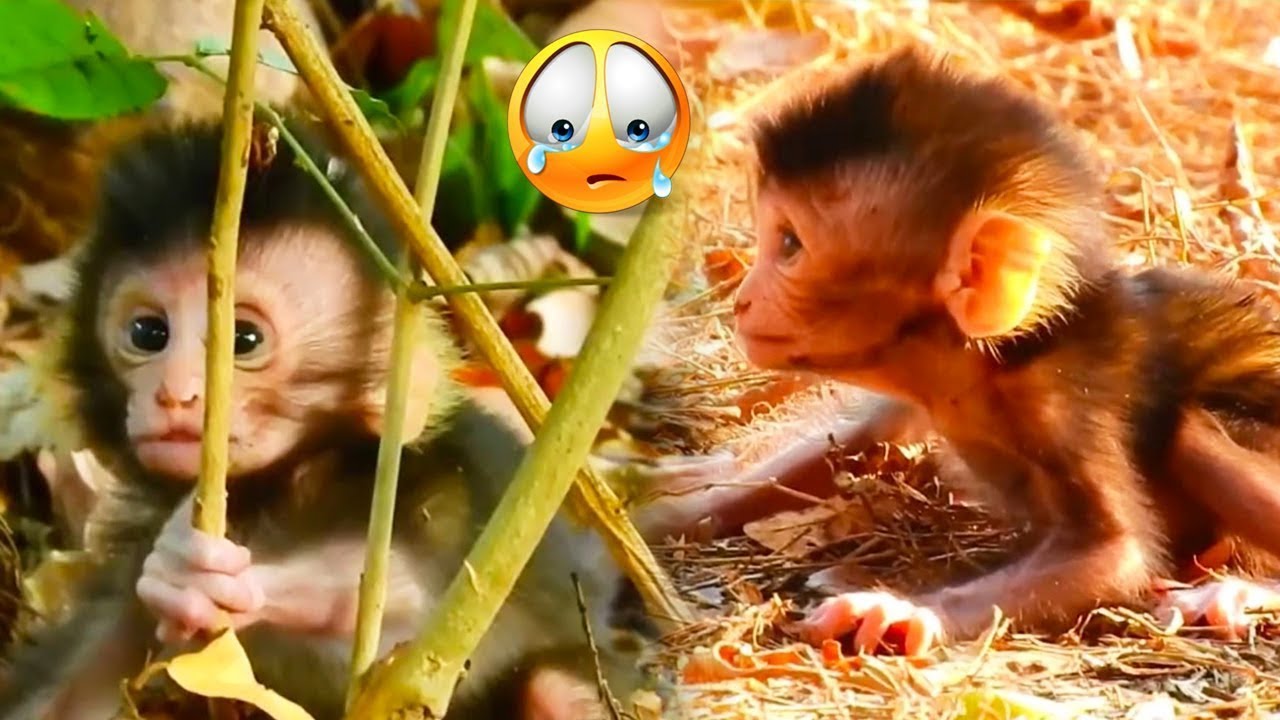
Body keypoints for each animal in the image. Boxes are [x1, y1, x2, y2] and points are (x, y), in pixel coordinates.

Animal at [0, 118, 647, 719]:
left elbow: (409, 644)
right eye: (148, 333)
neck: (288, 484)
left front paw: (200, 573)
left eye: (244, 339)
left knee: (553, 688)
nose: (176, 394)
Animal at [725, 46, 1280, 656]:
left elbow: (1114, 553)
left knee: (1189, 430)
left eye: (789, 245)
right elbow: (860, 438)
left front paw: (901, 612)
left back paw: (1240, 590)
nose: (741, 301)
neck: (994, 360)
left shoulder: (1063, 399)